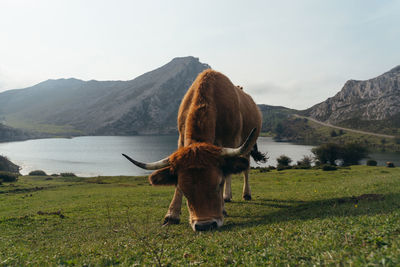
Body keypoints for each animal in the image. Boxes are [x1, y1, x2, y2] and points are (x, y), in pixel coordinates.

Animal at [122, 69, 266, 232]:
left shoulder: (231, 141)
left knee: (245, 168)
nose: (205, 225)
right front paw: (171, 215)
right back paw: (227, 197)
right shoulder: (180, 141)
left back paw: (244, 194)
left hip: (248, 145)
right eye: (185, 191)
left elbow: (227, 173)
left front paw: (222, 207)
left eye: (218, 184)